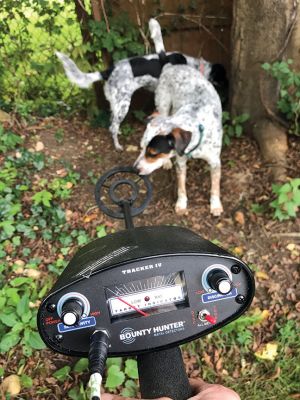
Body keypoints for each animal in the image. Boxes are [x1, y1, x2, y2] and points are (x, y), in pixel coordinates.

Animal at [56, 19, 226, 150]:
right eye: (224, 78)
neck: (195, 65)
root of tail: (109, 70)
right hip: (123, 104)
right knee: (113, 126)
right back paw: (117, 146)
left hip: (115, 104)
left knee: (112, 123)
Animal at [134, 63, 223, 216]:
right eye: (141, 148)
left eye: (153, 153)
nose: (134, 169)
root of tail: (171, 65)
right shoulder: (180, 162)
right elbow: (181, 187)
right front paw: (181, 204)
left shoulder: (215, 162)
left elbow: (215, 187)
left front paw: (215, 205)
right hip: (163, 105)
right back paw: (167, 162)